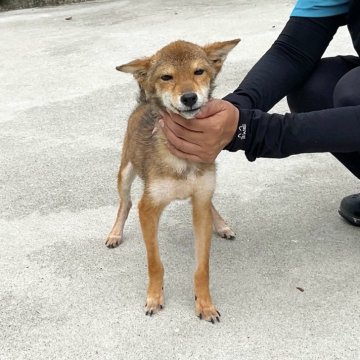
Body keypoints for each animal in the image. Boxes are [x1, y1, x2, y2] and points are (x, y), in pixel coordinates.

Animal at [107, 38, 239, 324]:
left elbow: (202, 268)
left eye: (199, 71)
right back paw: (115, 233)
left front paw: (205, 304)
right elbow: (155, 262)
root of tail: (144, 102)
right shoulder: (149, 208)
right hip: (125, 173)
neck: (182, 159)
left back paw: (222, 225)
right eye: (166, 77)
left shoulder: (199, 203)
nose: (189, 97)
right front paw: (154, 298)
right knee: (126, 203)